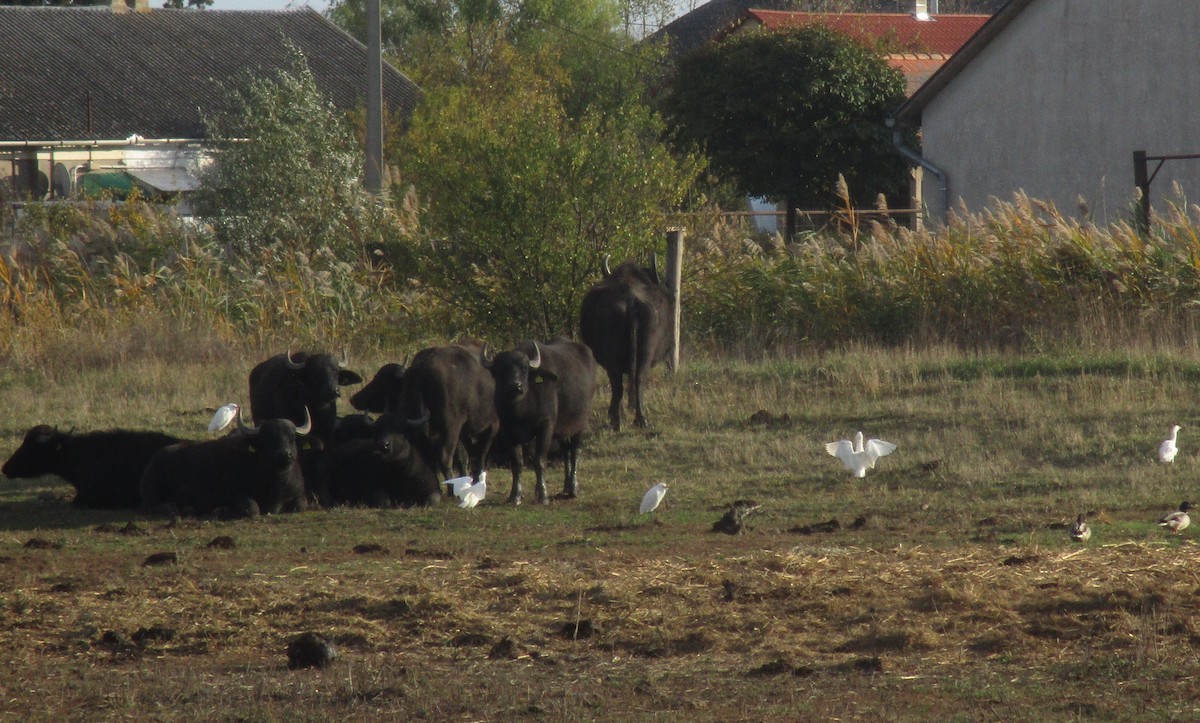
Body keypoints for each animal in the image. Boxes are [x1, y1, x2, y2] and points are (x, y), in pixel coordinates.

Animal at [139, 410, 309, 518]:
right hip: (153, 490)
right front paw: (221, 510)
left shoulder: (298, 494)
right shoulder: (230, 494)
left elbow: (301, 506)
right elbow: (252, 507)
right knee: (152, 506)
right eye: (268, 438)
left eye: (292, 437)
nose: (285, 454)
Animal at [398, 343, 498, 486]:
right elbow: (480, 454)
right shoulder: (492, 425)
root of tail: (424, 365)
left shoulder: (463, 431)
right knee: (445, 457)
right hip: (451, 426)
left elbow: (465, 457)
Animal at [484, 338, 596, 505]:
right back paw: (565, 487)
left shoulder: (546, 427)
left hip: (580, 424)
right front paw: (515, 496)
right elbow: (517, 463)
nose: (515, 386)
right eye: (501, 369)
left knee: (575, 451)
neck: (521, 410)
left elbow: (539, 461)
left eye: (524, 368)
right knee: (566, 452)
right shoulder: (508, 431)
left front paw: (543, 495)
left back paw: (573, 489)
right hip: (563, 429)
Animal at [579, 255, 674, 431]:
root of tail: (630, 300)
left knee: (622, 383)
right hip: (643, 354)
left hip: (618, 358)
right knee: (635, 380)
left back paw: (621, 418)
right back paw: (633, 418)